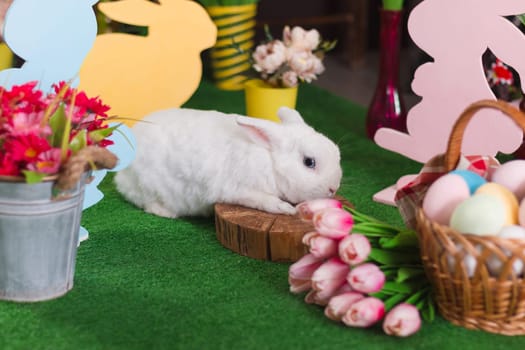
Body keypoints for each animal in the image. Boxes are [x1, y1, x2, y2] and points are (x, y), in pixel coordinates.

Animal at [114, 106, 342, 217]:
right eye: (309, 162)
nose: (333, 188)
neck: (269, 161)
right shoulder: (238, 190)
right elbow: (265, 200)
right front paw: (286, 209)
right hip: (148, 187)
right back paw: (165, 213)